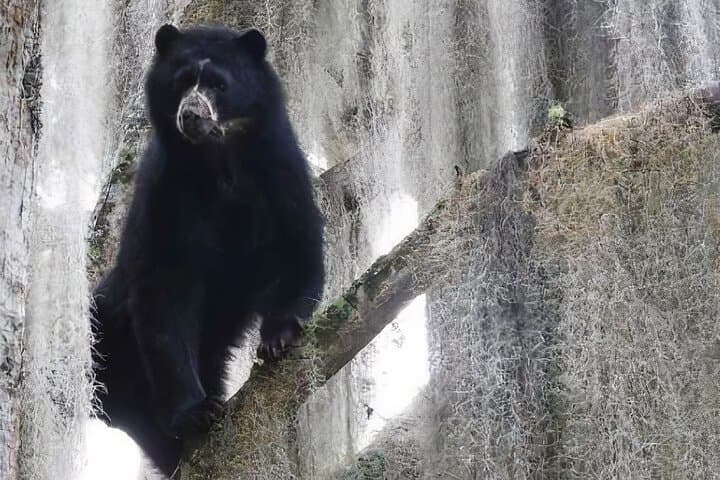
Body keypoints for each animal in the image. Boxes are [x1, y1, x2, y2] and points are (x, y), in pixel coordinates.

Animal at [92, 24, 324, 476]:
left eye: (219, 84)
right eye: (182, 81)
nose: (191, 115)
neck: (218, 161)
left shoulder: (279, 171)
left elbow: (297, 247)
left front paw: (277, 338)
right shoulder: (166, 193)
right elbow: (165, 296)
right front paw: (195, 411)